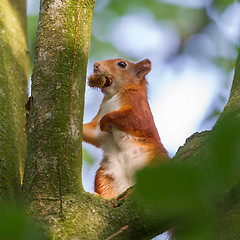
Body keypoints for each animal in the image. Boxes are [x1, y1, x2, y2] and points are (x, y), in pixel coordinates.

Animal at [82, 58, 169, 199]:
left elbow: (133, 119)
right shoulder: (99, 129)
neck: (113, 96)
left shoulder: (139, 108)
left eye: (122, 64)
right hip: (105, 176)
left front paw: (105, 121)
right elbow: (94, 132)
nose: (96, 65)